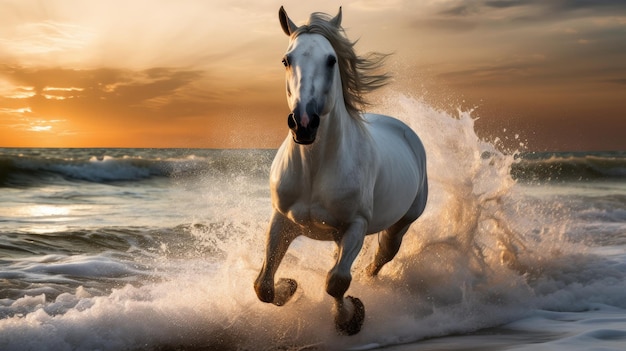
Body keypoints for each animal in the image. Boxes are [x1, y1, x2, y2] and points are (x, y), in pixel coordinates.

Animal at [251, 6, 426, 336]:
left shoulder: (355, 226)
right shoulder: (283, 220)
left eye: (331, 60)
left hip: (401, 223)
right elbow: (263, 285)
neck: (314, 171)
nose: (303, 123)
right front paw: (289, 286)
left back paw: (371, 279)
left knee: (382, 255)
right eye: (286, 60)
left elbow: (336, 281)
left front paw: (350, 317)